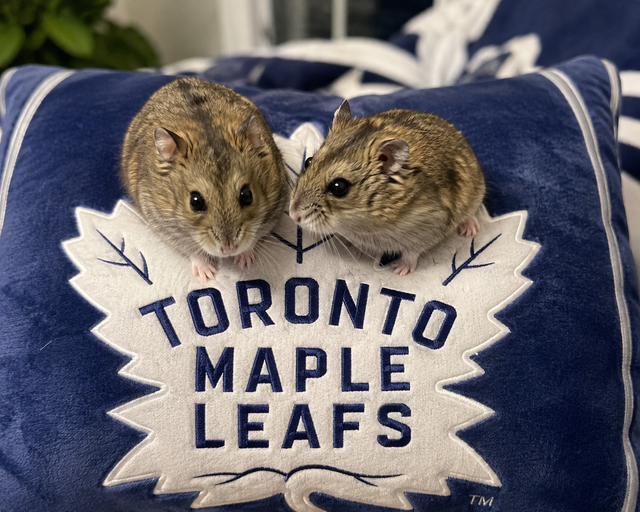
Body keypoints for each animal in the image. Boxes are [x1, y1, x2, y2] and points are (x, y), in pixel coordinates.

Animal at [121, 77, 288, 280]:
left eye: (247, 195)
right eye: (195, 202)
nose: (229, 249)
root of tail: (179, 79)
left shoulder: (275, 209)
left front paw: (244, 262)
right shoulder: (165, 225)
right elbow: (193, 250)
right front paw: (208, 274)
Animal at [288, 99, 485, 276]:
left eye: (339, 187)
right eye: (308, 161)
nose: (293, 215)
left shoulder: (428, 227)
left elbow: (411, 253)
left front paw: (399, 271)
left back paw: (469, 230)